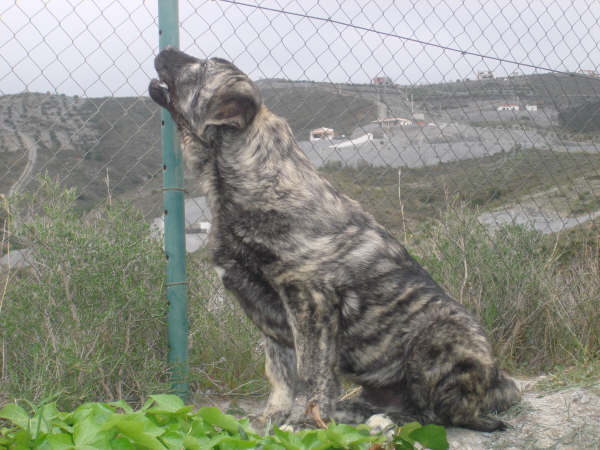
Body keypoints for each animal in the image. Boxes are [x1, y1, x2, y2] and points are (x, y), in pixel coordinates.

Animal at [150, 46, 520, 432]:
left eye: (205, 65)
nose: (166, 50)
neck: (249, 181)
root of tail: (497, 380)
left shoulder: (310, 300)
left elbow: (311, 370)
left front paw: (308, 422)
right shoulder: (268, 313)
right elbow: (279, 373)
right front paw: (273, 417)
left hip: (437, 337)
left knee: (442, 414)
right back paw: (356, 412)